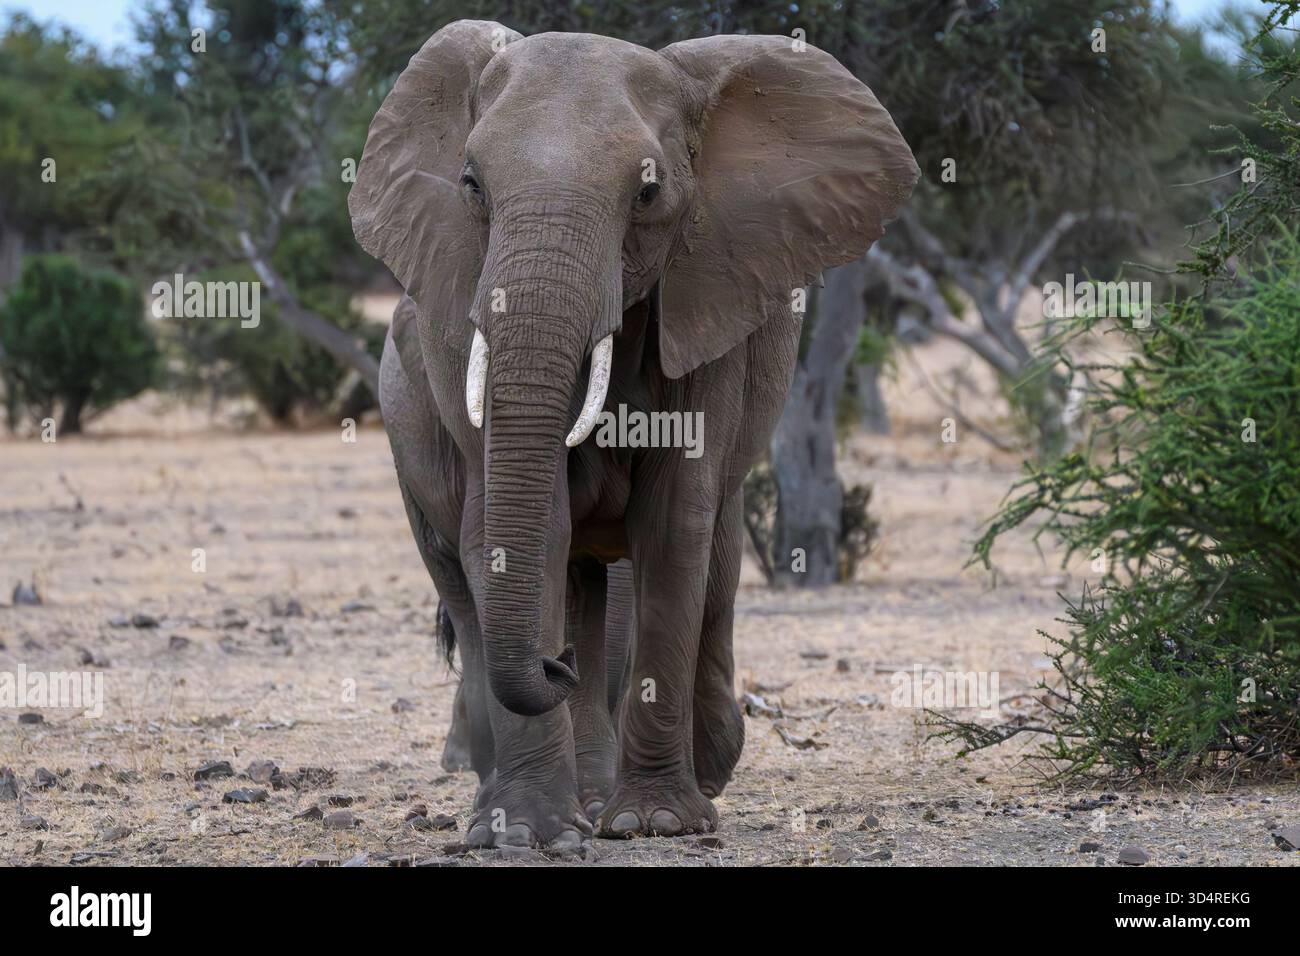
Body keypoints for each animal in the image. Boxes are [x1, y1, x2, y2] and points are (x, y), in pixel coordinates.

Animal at [351, 20, 918, 848]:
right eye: (471, 185)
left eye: (648, 193)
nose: (552, 666)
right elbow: (524, 525)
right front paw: (523, 833)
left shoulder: (709, 306)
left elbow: (674, 524)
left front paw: (654, 821)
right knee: (474, 582)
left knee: (709, 560)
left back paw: (679, 773)